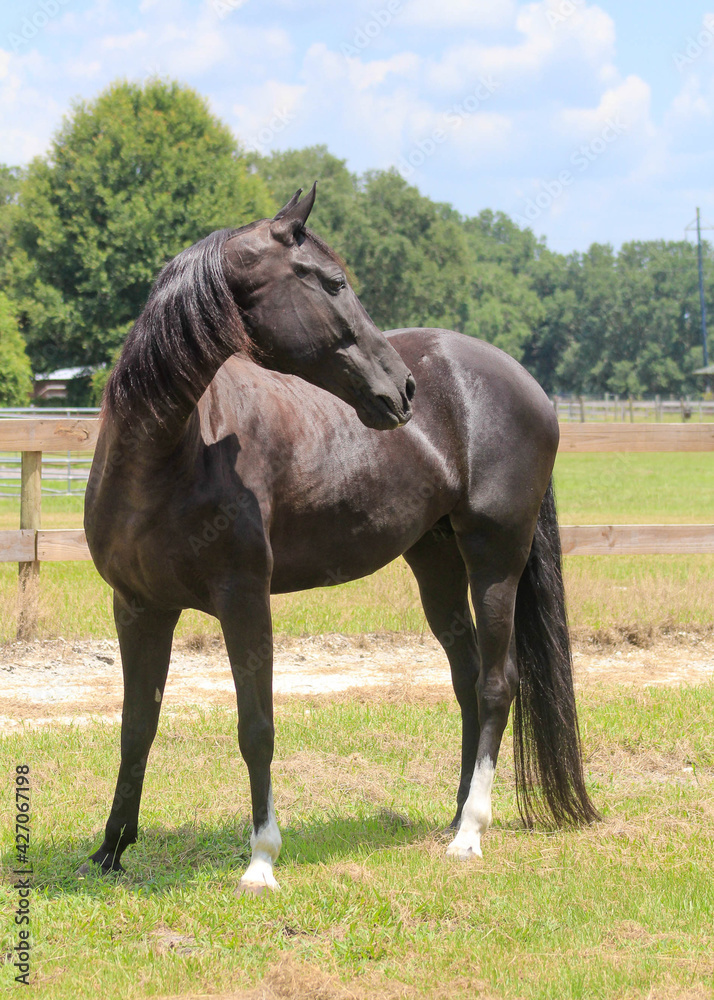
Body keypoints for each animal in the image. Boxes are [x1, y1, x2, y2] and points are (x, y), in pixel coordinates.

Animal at [82, 186, 596, 892]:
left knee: (497, 684)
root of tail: (528, 385)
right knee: (467, 679)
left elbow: (256, 726)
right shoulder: (137, 607)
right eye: (333, 282)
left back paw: (470, 832)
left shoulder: (244, 599)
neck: (165, 455)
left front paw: (262, 859)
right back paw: (453, 814)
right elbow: (136, 726)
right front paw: (111, 849)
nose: (402, 388)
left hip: (496, 559)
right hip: (436, 562)